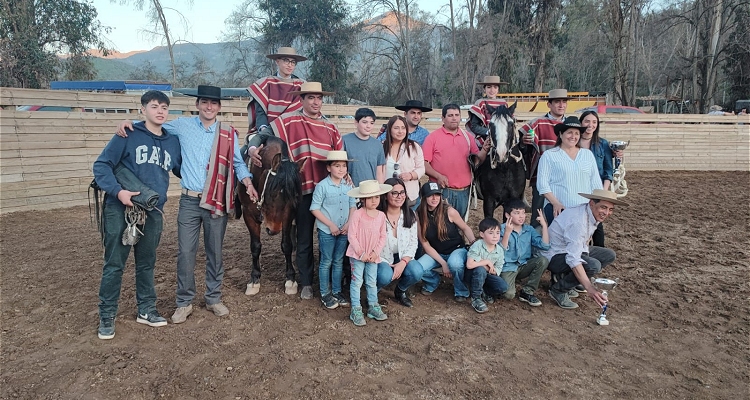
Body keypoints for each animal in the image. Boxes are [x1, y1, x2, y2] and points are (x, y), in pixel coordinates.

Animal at [236, 136, 304, 296]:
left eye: (294, 197)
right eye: (273, 192)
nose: (273, 229)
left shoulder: (287, 215)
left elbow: (286, 245)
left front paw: (290, 279)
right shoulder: (248, 214)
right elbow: (255, 247)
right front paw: (254, 279)